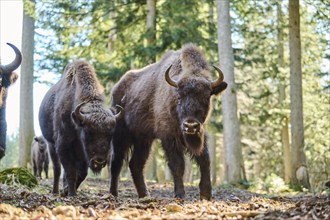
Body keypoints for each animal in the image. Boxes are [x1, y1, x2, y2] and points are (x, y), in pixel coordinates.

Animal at [39, 59, 124, 196]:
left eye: (111, 134)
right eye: (88, 132)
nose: (99, 161)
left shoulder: (83, 154)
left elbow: (82, 173)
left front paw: (67, 190)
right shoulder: (63, 146)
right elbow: (70, 171)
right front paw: (71, 193)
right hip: (51, 145)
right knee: (57, 169)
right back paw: (55, 191)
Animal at [109, 43, 228, 199]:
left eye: (206, 97)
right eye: (179, 96)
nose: (190, 125)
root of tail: (116, 88)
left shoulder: (200, 133)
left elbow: (205, 159)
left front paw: (206, 194)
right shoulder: (169, 137)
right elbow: (177, 164)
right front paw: (180, 194)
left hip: (144, 140)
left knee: (136, 164)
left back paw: (145, 195)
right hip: (121, 136)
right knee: (116, 163)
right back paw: (113, 194)